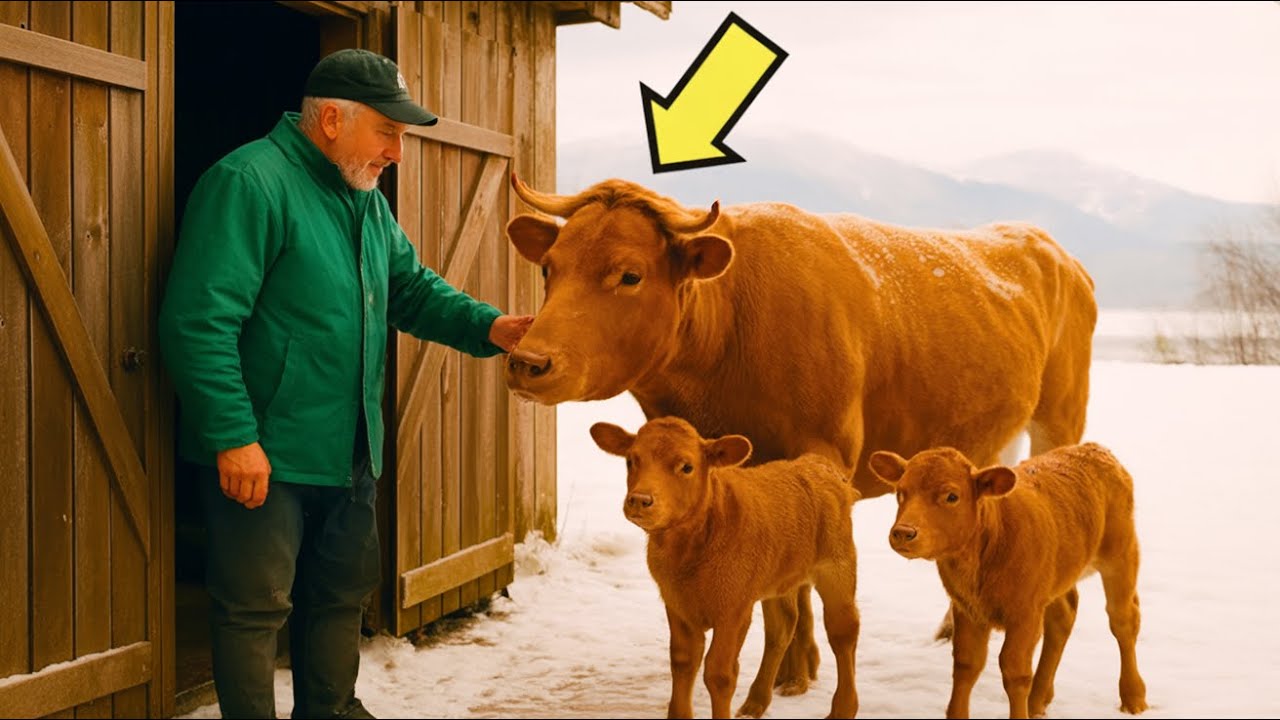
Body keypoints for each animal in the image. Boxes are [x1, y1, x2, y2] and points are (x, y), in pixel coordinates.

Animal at [590, 416, 860, 719]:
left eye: (687, 466)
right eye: (630, 460)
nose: (640, 499)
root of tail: (817, 465)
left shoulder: (733, 609)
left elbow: (719, 673)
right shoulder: (677, 603)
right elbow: (683, 661)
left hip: (837, 567)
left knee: (843, 632)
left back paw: (843, 709)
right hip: (778, 578)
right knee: (782, 627)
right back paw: (756, 702)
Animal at [868, 443, 1147, 719]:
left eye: (952, 496)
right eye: (900, 493)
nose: (903, 533)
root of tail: (1094, 449)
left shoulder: (1025, 614)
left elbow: (1015, 671)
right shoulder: (967, 609)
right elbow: (966, 663)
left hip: (1121, 554)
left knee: (1123, 619)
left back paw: (1133, 697)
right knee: (1063, 617)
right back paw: (1038, 701)